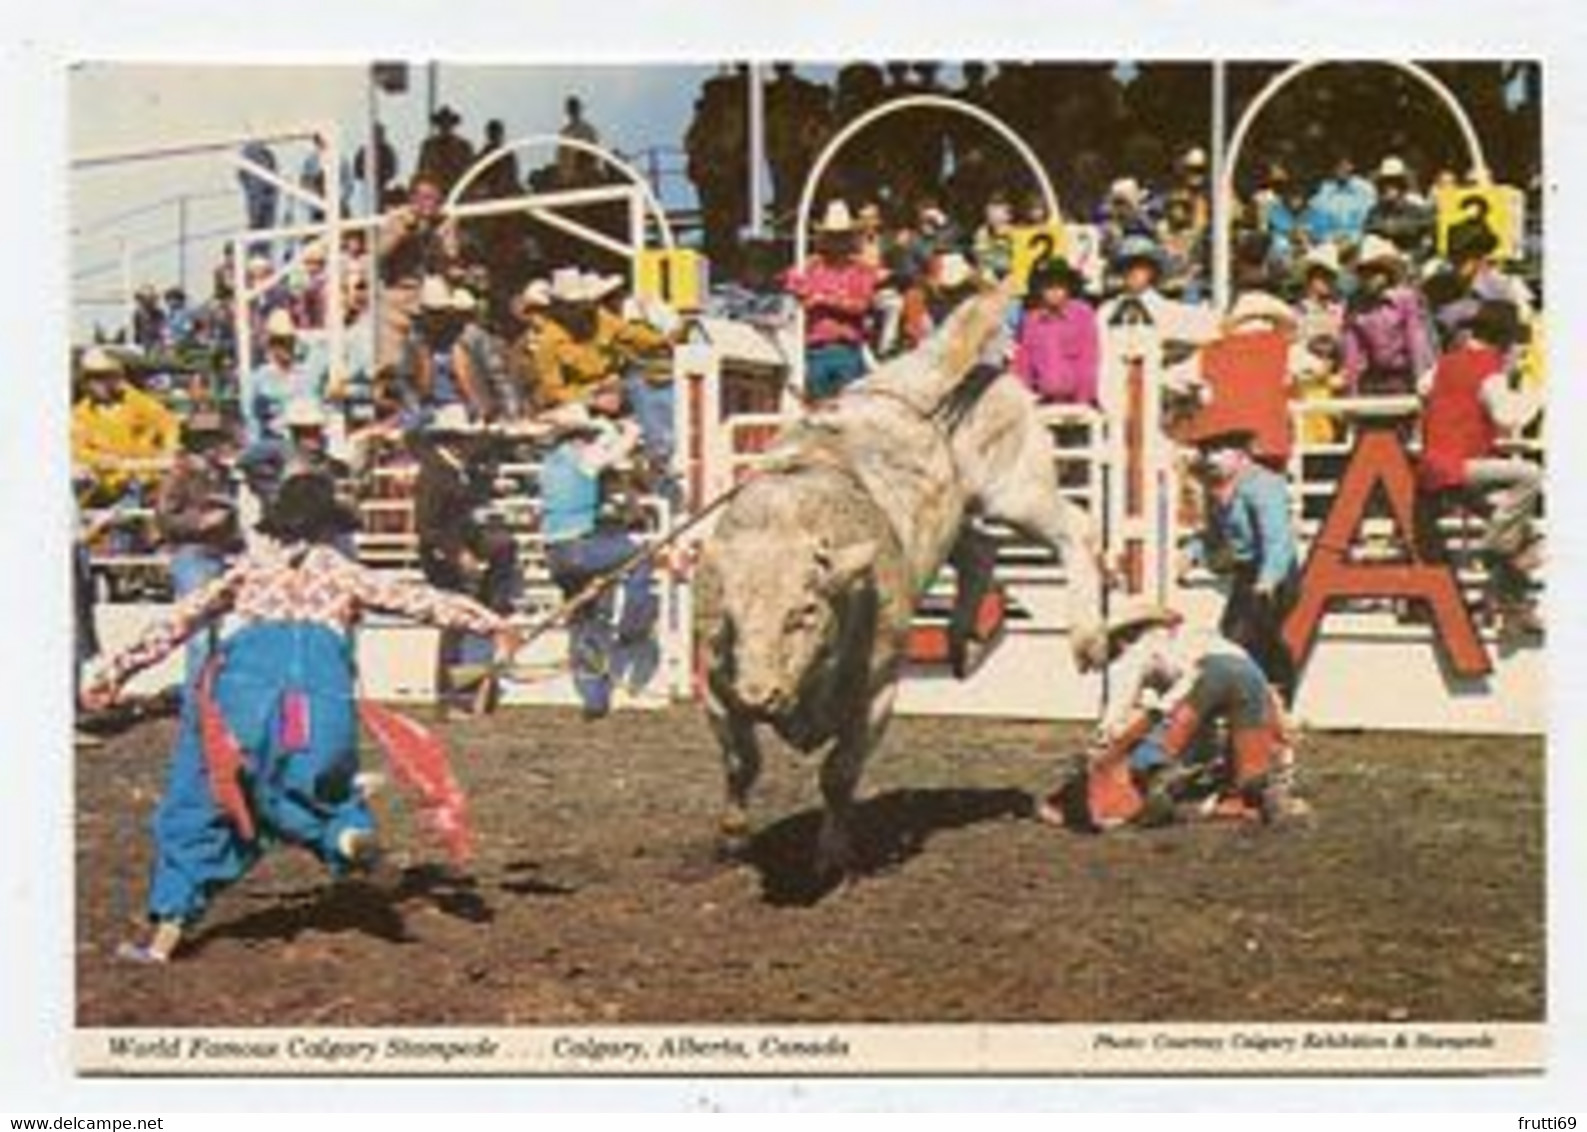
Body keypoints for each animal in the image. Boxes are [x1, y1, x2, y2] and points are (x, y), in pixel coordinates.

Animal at [695, 288, 1104, 876]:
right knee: (980, 550)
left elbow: (838, 773)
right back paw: (960, 639)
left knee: (1077, 529)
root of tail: (938, 362)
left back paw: (1088, 638)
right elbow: (740, 762)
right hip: (964, 512)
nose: (759, 695)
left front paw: (833, 853)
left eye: (805, 611)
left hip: (1017, 489)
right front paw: (730, 837)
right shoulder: (717, 689)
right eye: (730, 617)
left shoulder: (878, 692)